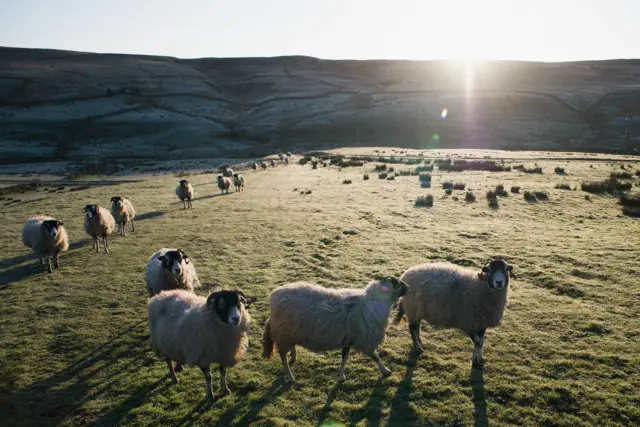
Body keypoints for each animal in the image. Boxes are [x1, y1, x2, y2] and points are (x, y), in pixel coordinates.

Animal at [264, 278, 410, 384]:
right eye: (398, 282)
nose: (408, 287)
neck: (376, 302)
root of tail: (274, 296)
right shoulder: (365, 339)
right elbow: (375, 356)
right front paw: (386, 371)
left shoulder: (349, 339)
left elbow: (344, 358)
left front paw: (341, 376)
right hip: (283, 334)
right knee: (282, 357)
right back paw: (290, 376)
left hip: (290, 334)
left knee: (289, 349)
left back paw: (293, 357)